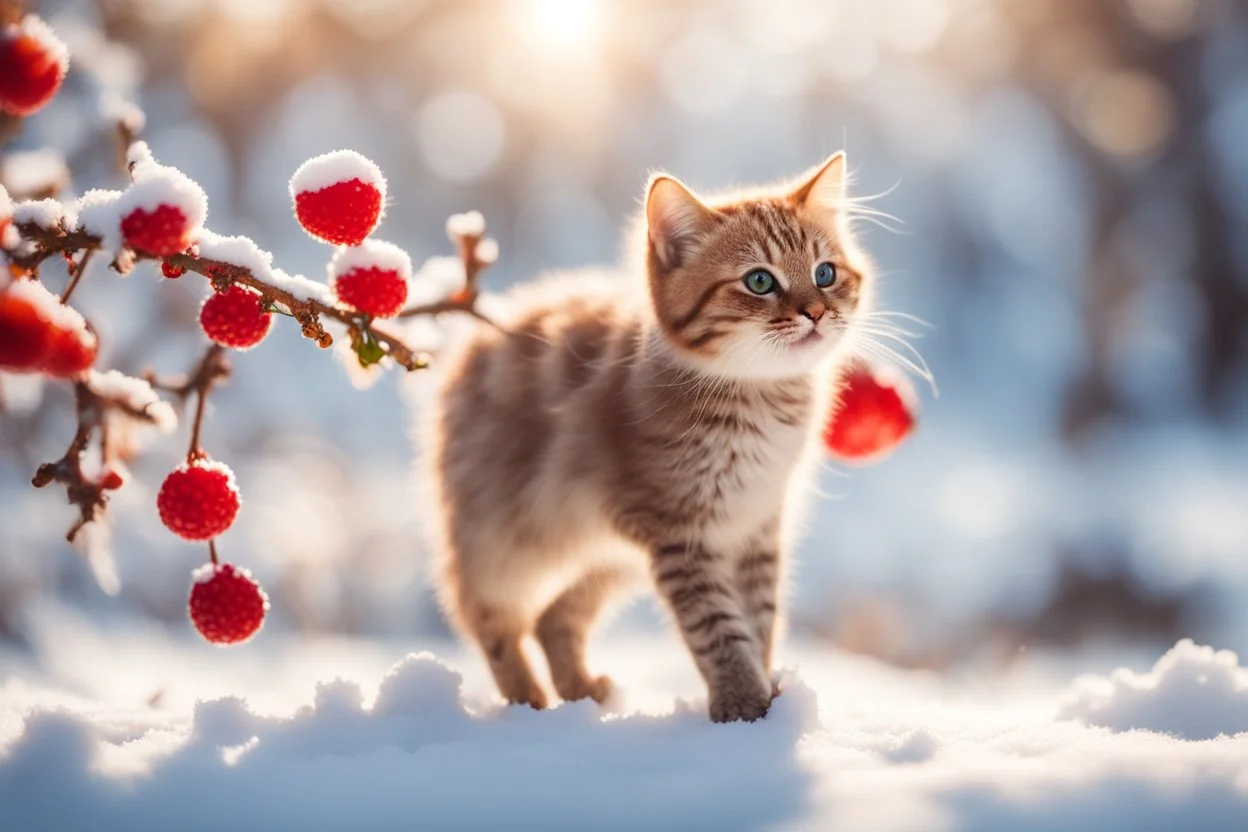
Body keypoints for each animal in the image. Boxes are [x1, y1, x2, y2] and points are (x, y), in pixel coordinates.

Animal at [424, 154, 873, 723]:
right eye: (759, 281)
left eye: (825, 273)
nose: (815, 312)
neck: (761, 402)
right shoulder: (681, 533)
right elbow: (718, 625)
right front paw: (742, 703)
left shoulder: (754, 526)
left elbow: (759, 617)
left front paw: (767, 699)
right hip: (505, 537)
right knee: (488, 617)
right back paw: (527, 702)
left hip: (609, 557)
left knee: (554, 617)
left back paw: (580, 690)